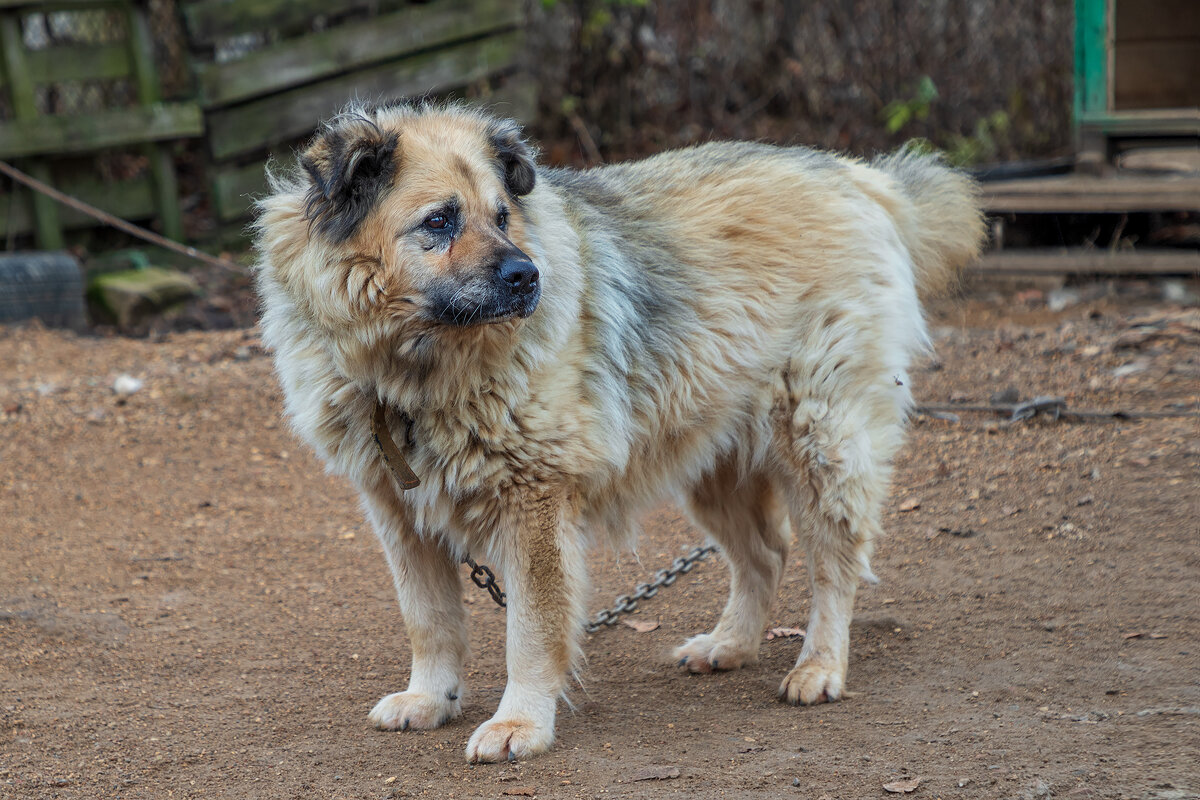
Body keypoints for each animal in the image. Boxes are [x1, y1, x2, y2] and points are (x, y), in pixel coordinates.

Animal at [255, 100, 984, 762]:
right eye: (438, 221)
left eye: (502, 216)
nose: (527, 276)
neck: (412, 369)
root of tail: (857, 176)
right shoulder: (397, 511)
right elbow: (428, 621)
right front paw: (430, 698)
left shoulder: (535, 500)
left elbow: (531, 630)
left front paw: (520, 723)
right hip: (709, 459)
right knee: (766, 554)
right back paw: (729, 646)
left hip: (818, 440)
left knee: (834, 562)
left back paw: (819, 667)